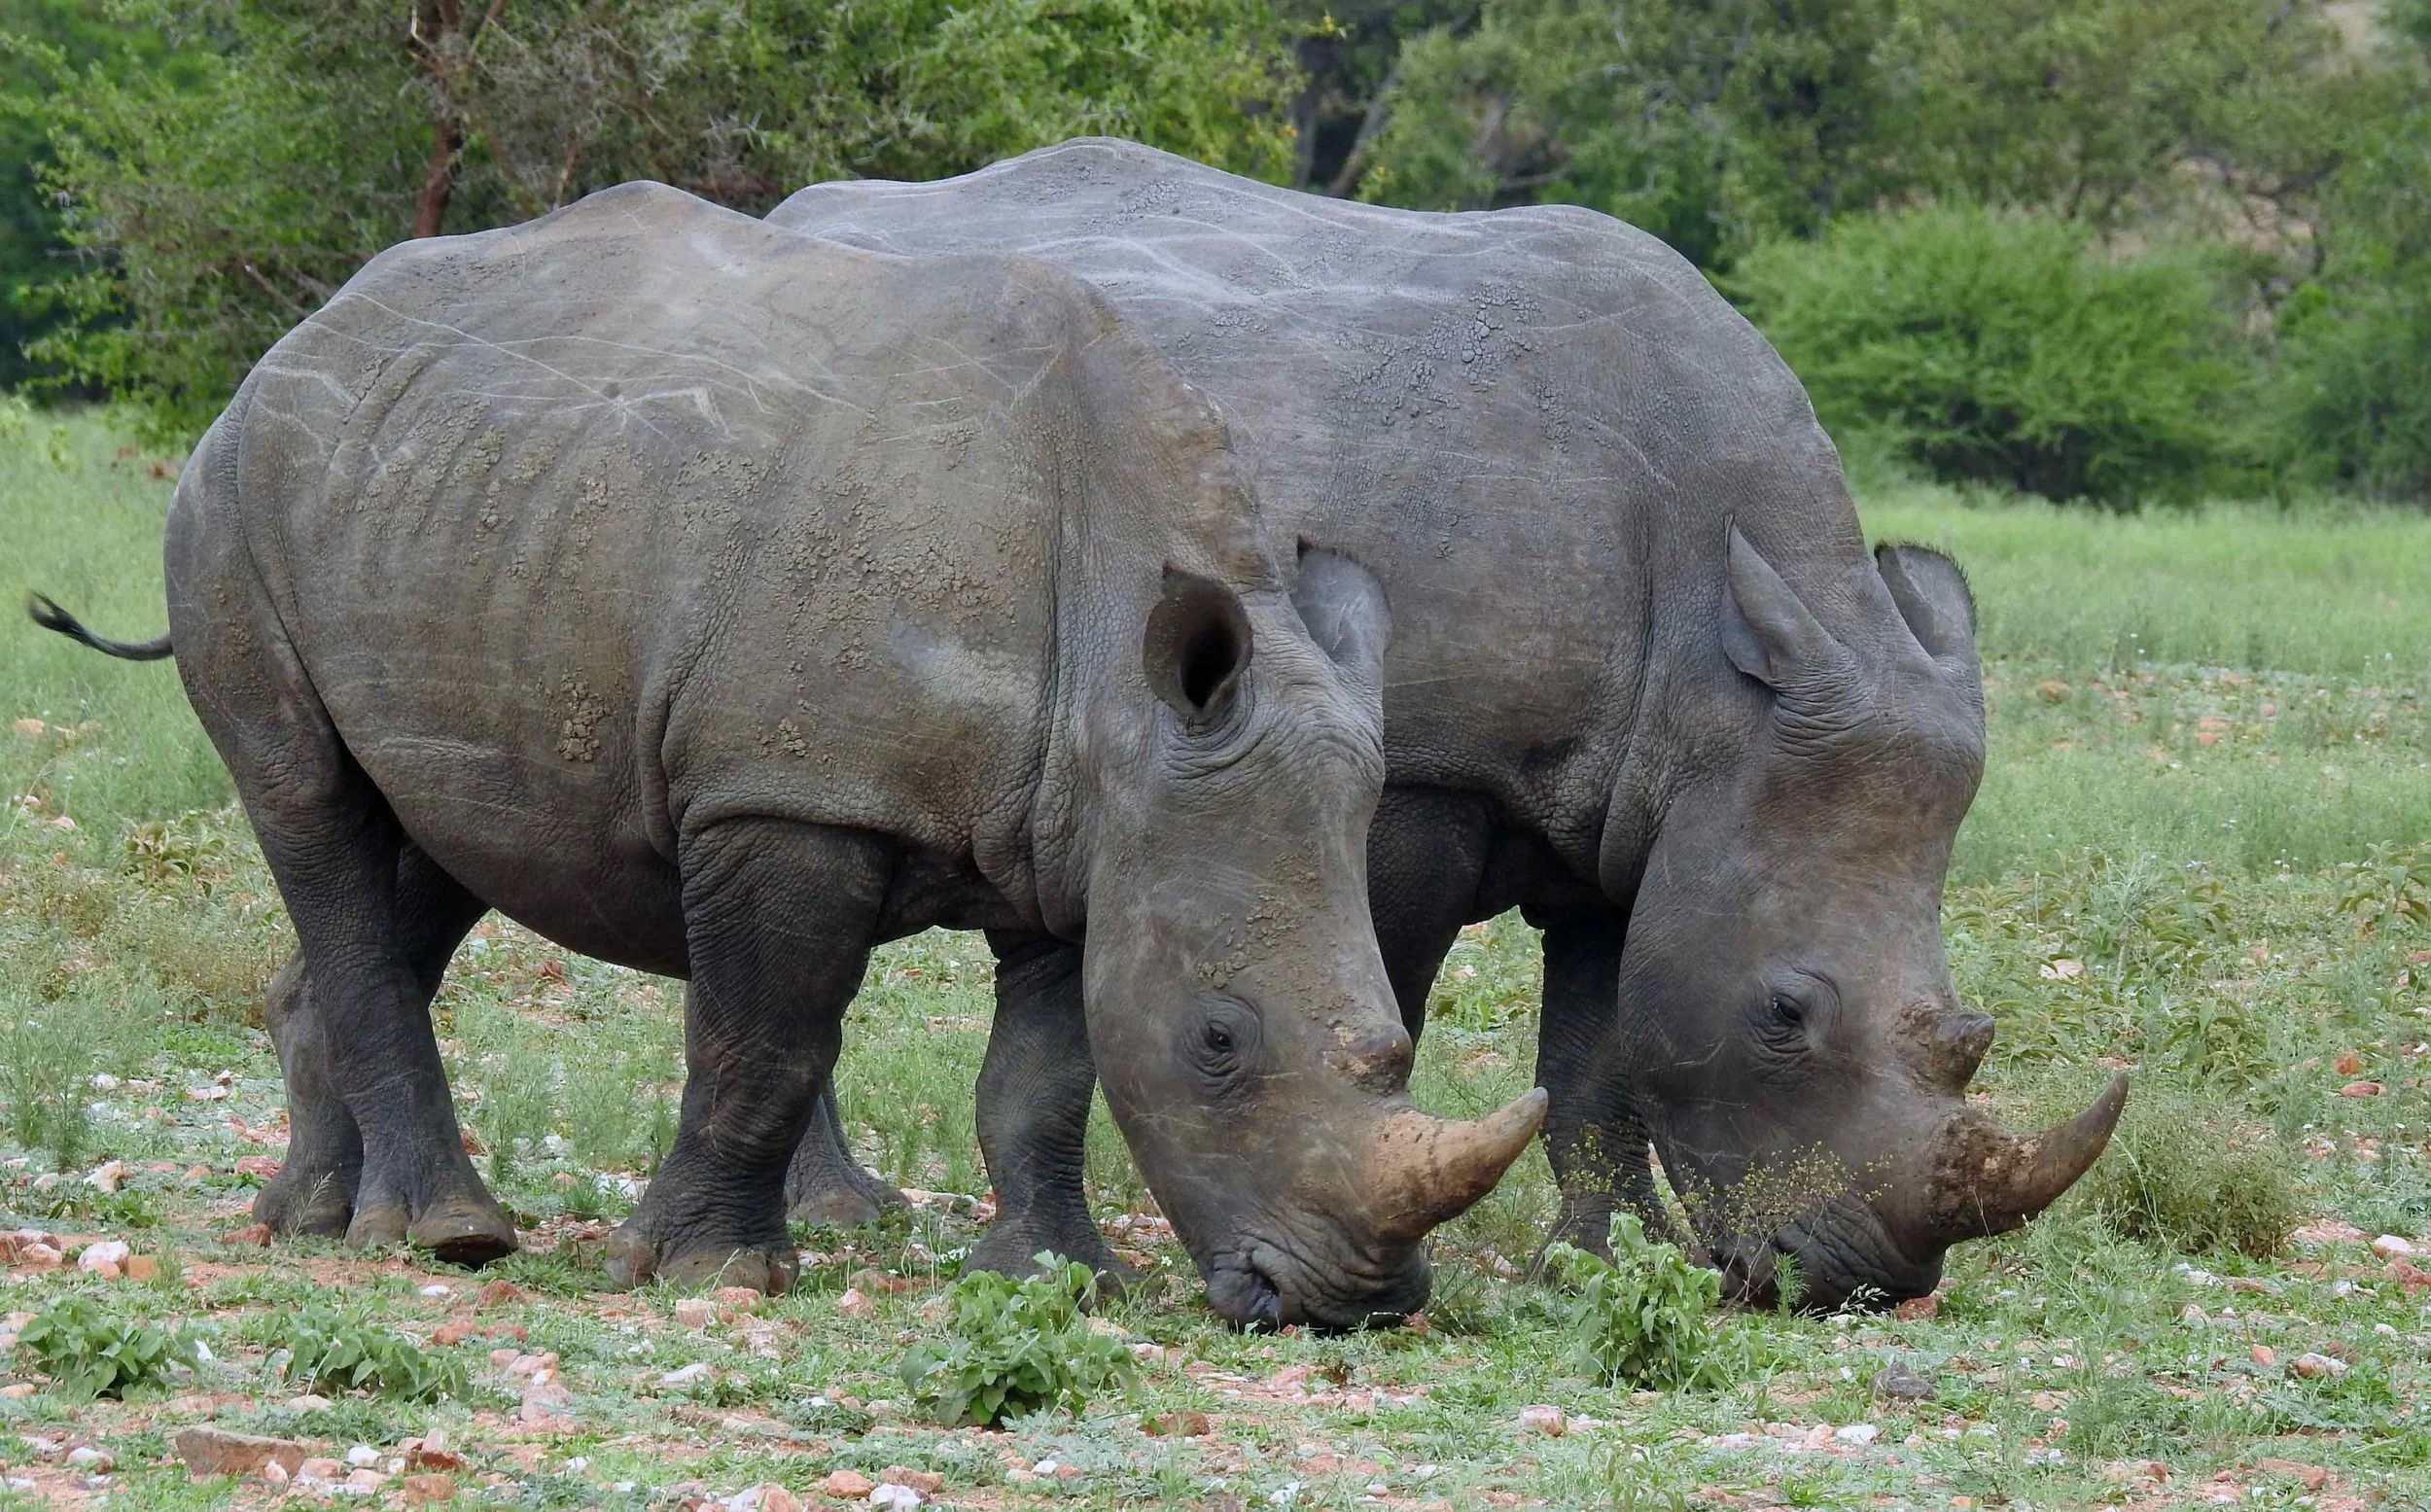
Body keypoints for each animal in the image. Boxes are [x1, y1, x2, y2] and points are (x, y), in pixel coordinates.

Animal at [29, 181, 1546, 1324]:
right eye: (1222, 1041)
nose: (1355, 1303)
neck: (1122, 663)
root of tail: (291, 344)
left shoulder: (1088, 833)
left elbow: (1043, 1074)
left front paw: (1056, 1277)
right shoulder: (791, 795)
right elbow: (765, 1036)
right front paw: (708, 1271)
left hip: (449, 502)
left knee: (438, 831)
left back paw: (309, 1216)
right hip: (230, 504)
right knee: (314, 806)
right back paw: (442, 1235)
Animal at [762, 139, 2127, 1310]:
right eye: (1784, 1015)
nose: (1864, 1283)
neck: (1719, 678)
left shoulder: (1634, 809)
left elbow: (1598, 1052)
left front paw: (1605, 1261)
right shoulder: (1425, 771)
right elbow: (1396, 1004)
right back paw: (843, 1216)